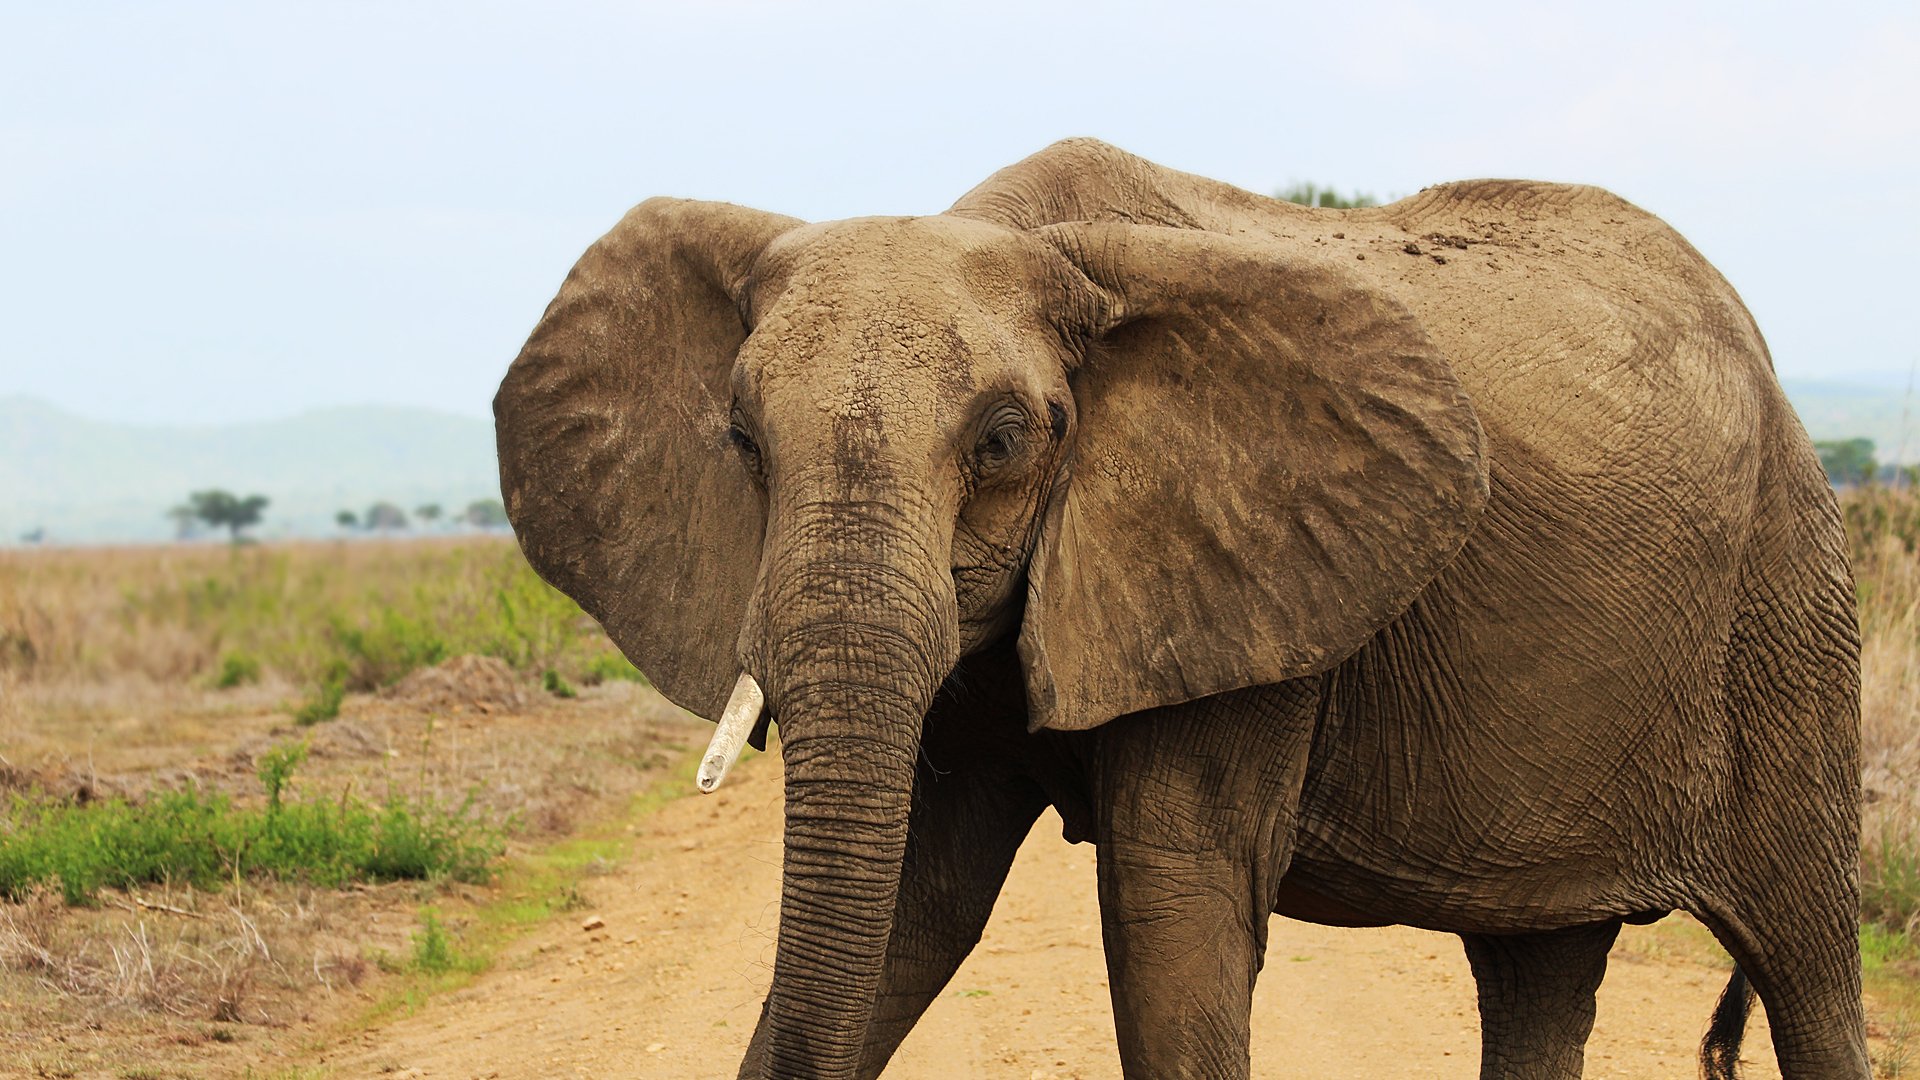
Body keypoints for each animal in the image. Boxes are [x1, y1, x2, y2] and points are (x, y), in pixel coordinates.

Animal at [495, 138, 1858, 1068]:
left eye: (1003, 441)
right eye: (739, 439)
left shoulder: (1252, 589)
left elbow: (1172, 909)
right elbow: (916, 908)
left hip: (1793, 603)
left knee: (1808, 961)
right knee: (1539, 974)